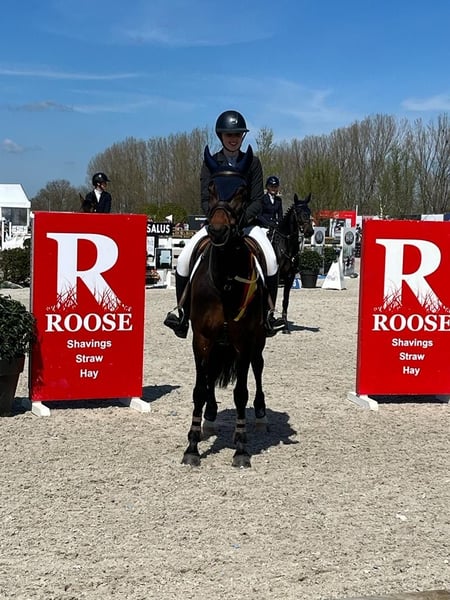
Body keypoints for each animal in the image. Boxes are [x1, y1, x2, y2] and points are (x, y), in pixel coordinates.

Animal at [182, 145, 268, 468]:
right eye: (210, 188)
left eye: (242, 190)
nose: (218, 231)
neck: (225, 280)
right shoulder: (201, 338)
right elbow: (198, 388)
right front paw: (192, 446)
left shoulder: (243, 340)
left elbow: (241, 392)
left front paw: (241, 447)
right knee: (208, 379)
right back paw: (209, 418)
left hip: (259, 339)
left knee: (258, 366)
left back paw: (260, 414)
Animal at [271, 193, 314, 333]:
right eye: (298, 212)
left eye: (309, 211)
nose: (309, 231)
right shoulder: (276, 277)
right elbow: (273, 298)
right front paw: (270, 321)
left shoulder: (289, 277)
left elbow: (285, 300)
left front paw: (285, 326)